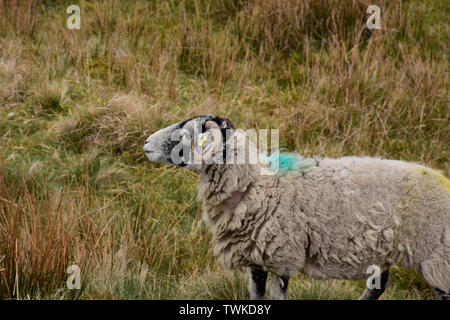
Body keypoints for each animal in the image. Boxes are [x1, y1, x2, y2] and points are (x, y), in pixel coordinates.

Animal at [144, 115, 450, 300]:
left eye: (186, 135)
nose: (146, 143)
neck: (256, 188)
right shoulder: (257, 260)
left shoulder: (282, 256)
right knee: (377, 288)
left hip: (438, 261)